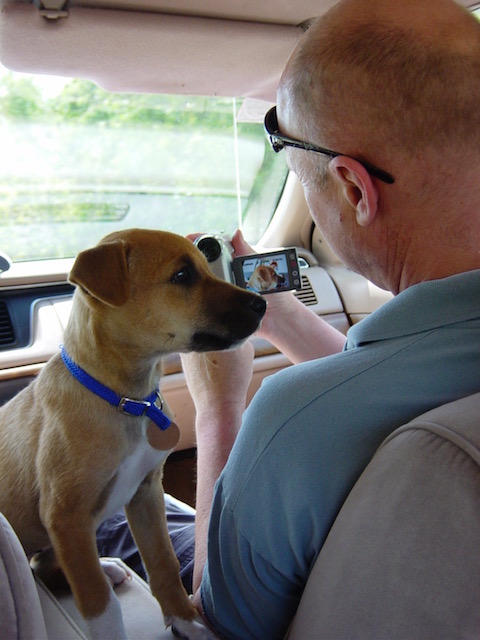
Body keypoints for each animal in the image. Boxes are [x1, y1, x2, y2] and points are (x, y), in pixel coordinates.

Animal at [0, 228, 264, 636]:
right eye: (182, 276)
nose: (262, 304)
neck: (127, 400)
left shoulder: (146, 494)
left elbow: (164, 565)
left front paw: (187, 622)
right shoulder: (66, 518)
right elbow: (99, 604)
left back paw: (107, 566)